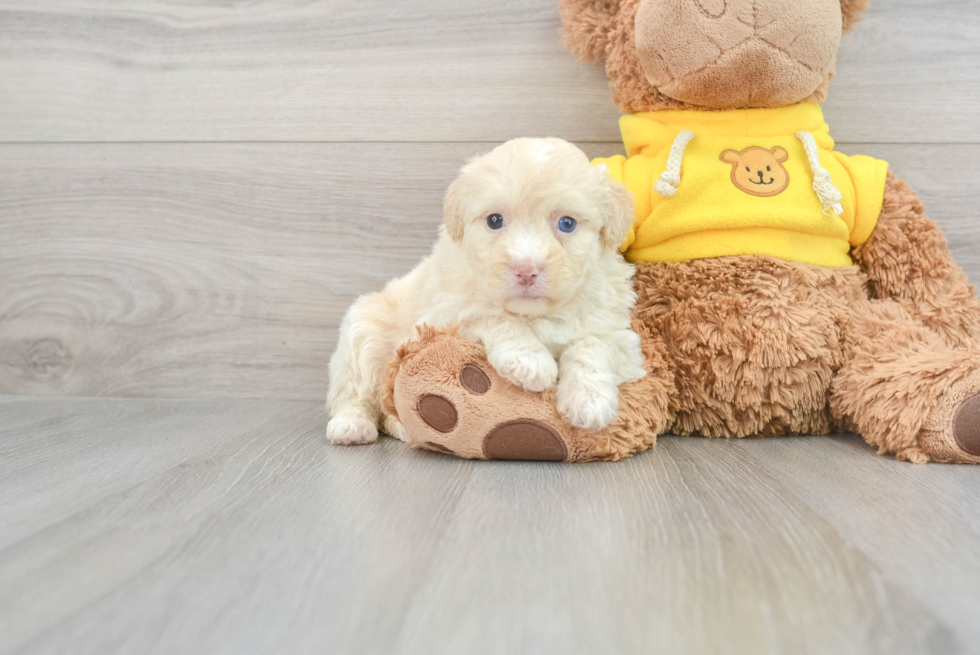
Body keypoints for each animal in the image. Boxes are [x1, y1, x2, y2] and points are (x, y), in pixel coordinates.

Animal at [330, 138, 648, 446]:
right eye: (495, 220)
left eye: (567, 223)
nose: (526, 270)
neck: (534, 314)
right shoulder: (444, 314)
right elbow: (491, 314)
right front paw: (529, 361)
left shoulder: (619, 336)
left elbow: (592, 344)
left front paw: (589, 401)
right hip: (363, 333)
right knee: (356, 391)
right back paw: (352, 425)